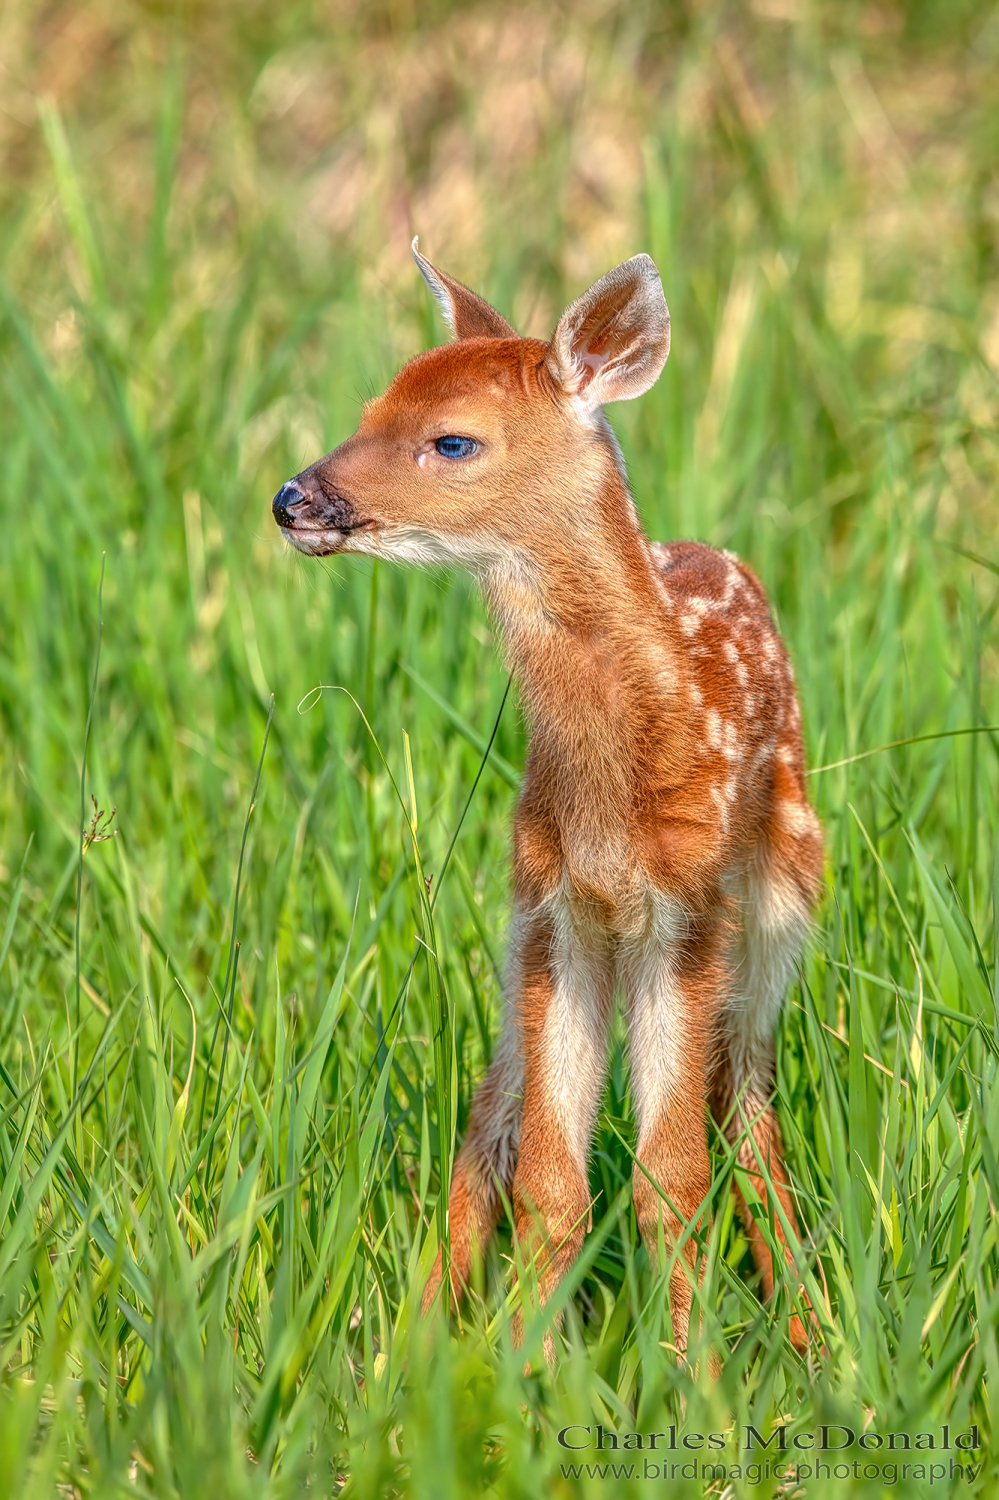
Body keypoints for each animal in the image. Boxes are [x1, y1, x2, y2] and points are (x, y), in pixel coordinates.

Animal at [268, 240, 822, 1356]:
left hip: (778, 908)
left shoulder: (684, 917)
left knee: (747, 1106)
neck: (611, 795)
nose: (295, 499)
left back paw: (810, 1335)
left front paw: (689, 1372)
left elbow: (670, 1178)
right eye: (370, 406)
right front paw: (514, 1366)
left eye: (452, 440)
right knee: (489, 1124)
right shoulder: (559, 912)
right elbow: (549, 1183)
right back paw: (406, 1344)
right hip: (524, 940)